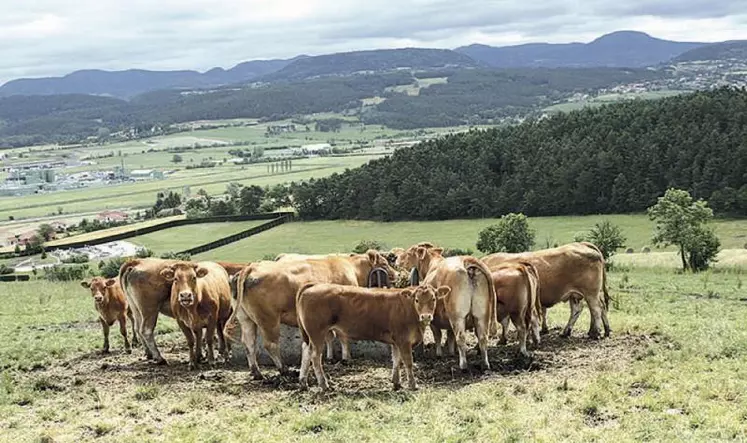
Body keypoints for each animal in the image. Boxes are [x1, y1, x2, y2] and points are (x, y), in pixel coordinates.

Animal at [226, 251, 398, 380]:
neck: (351, 268)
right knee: (270, 345)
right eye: (384, 264)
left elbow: (329, 336)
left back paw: (257, 373)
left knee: (249, 343)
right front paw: (346, 358)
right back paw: (284, 370)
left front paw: (329, 357)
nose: (397, 274)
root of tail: (250, 268)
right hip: (269, 319)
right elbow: (342, 336)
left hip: (246, 319)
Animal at [296, 284, 450, 392]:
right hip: (317, 333)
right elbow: (408, 362)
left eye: (434, 299)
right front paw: (413, 385)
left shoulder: (396, 341)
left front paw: (396, 383)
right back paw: (324, 384)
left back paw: (303, 382)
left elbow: (396, 360)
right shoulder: (403, 340)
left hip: (310, 336)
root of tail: (314, 285)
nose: (426, 316)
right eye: (417, 300)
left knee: (306, 351)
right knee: (315, 357)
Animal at [482, 243, 612, 340]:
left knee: (596, 309)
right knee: (581, 310)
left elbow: (504, 321)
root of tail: (582, 244)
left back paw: (595, 333)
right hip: (577, 294)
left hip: (591, 293)